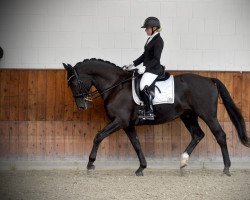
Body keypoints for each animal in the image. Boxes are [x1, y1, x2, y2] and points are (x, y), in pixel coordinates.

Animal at [62, 58, 248, 177]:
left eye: (74, 83)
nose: (82, 106)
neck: (115, 86)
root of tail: (209, 79)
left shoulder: (120, 121)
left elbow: (98, 136)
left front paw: (90, 164)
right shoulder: (127, 124)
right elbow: (136, 144)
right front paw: (141, 168)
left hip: (208, 115)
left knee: (220, 135)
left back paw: (226, 168)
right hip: (188, 115)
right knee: (197, 134)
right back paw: (183, 162)